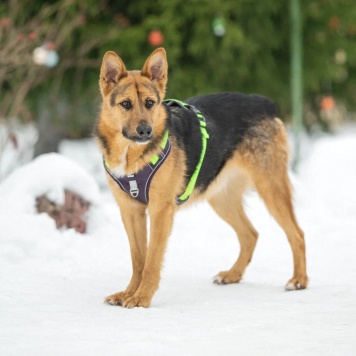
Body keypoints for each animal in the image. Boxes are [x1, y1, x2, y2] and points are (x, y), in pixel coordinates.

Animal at [94, 48, 306, 308]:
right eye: (126, 104)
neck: (133, 155)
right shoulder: (130, 211)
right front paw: (128, 293)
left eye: (150, 103)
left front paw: (142, 297)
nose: (145, 131)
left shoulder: (160, 211)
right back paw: (233, 275)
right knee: (250, 234)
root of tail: (262, 102)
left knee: (297, 234)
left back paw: (299, 280)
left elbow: (152, 260)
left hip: (270, 189)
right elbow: (138, 259)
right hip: (221, 199)